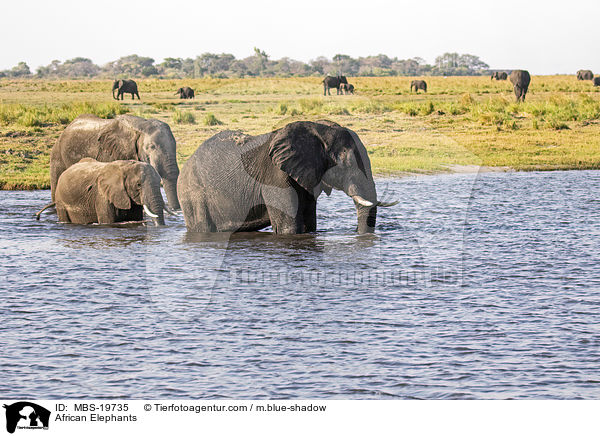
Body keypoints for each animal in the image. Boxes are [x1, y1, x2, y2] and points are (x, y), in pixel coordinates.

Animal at [176, 119, 396, 235]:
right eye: (346, 163)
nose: (358, 234)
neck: (317, 129)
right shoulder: (274, 176)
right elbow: (290, 228)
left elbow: (309, 223)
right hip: (193, 195)